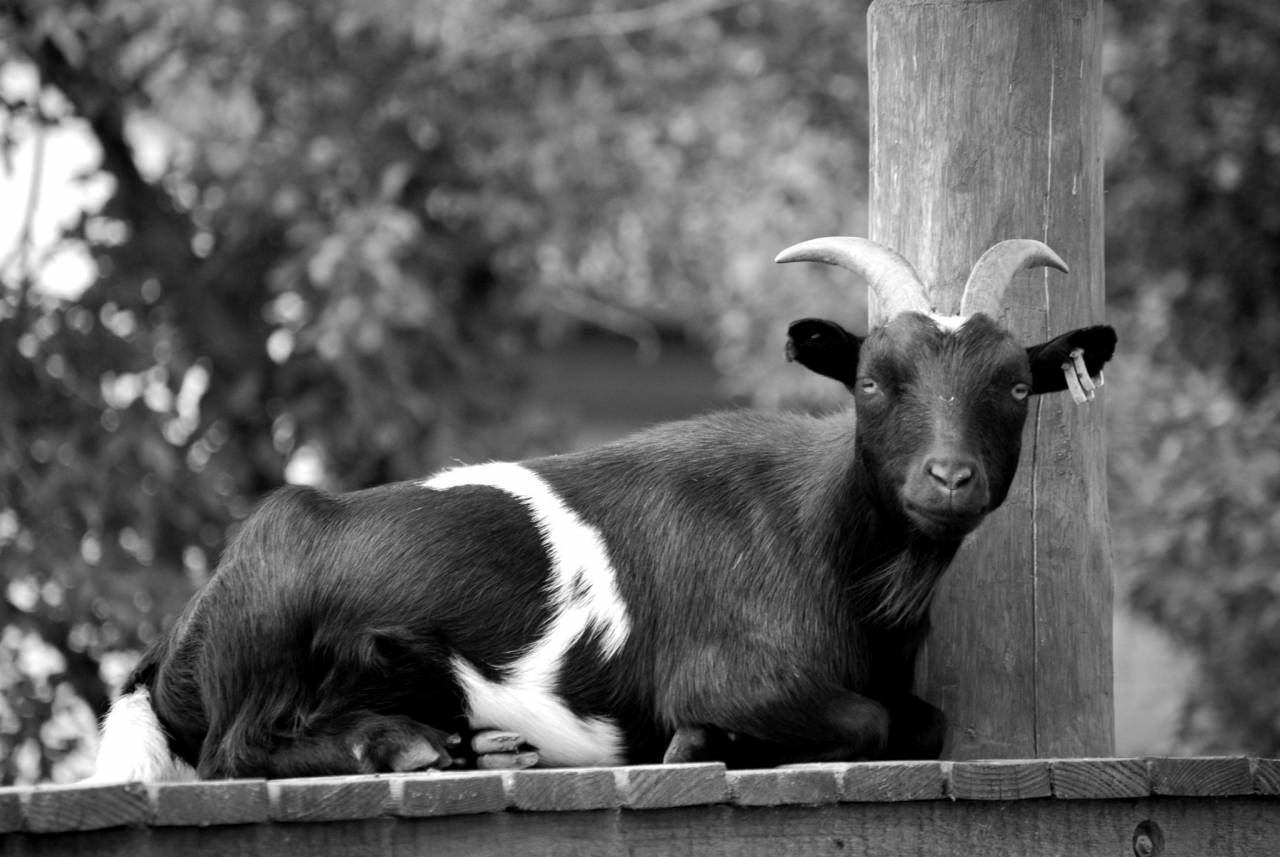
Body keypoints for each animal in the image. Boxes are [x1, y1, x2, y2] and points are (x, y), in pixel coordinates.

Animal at [89, 236, 1116, 781]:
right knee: (234, 747)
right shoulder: (729, 670)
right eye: (870, 379)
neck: (827, 545)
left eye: (1014, 387)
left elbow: (925, 720)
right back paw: (407, 745)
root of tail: (177, 639)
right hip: (268, 618)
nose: (949, 477)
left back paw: (484, 743)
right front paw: (699, 743)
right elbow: (862, 721)